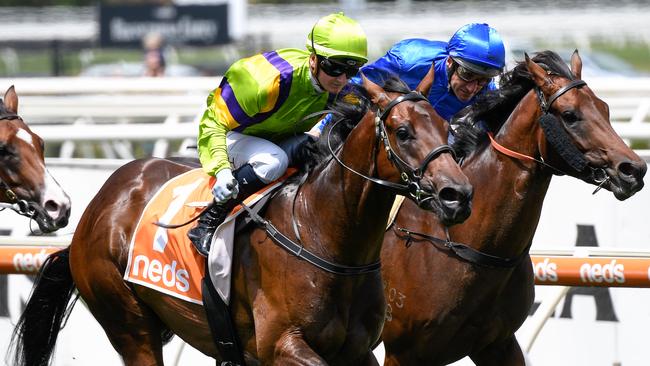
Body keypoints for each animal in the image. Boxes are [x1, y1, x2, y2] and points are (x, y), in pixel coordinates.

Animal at [11, 76, 470, 364]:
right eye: (403, 131)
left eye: (447, 126)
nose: (458, 195)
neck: (323, 234)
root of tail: (99, 206)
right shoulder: (282, 346)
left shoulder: (357, 351)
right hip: (128, 322)